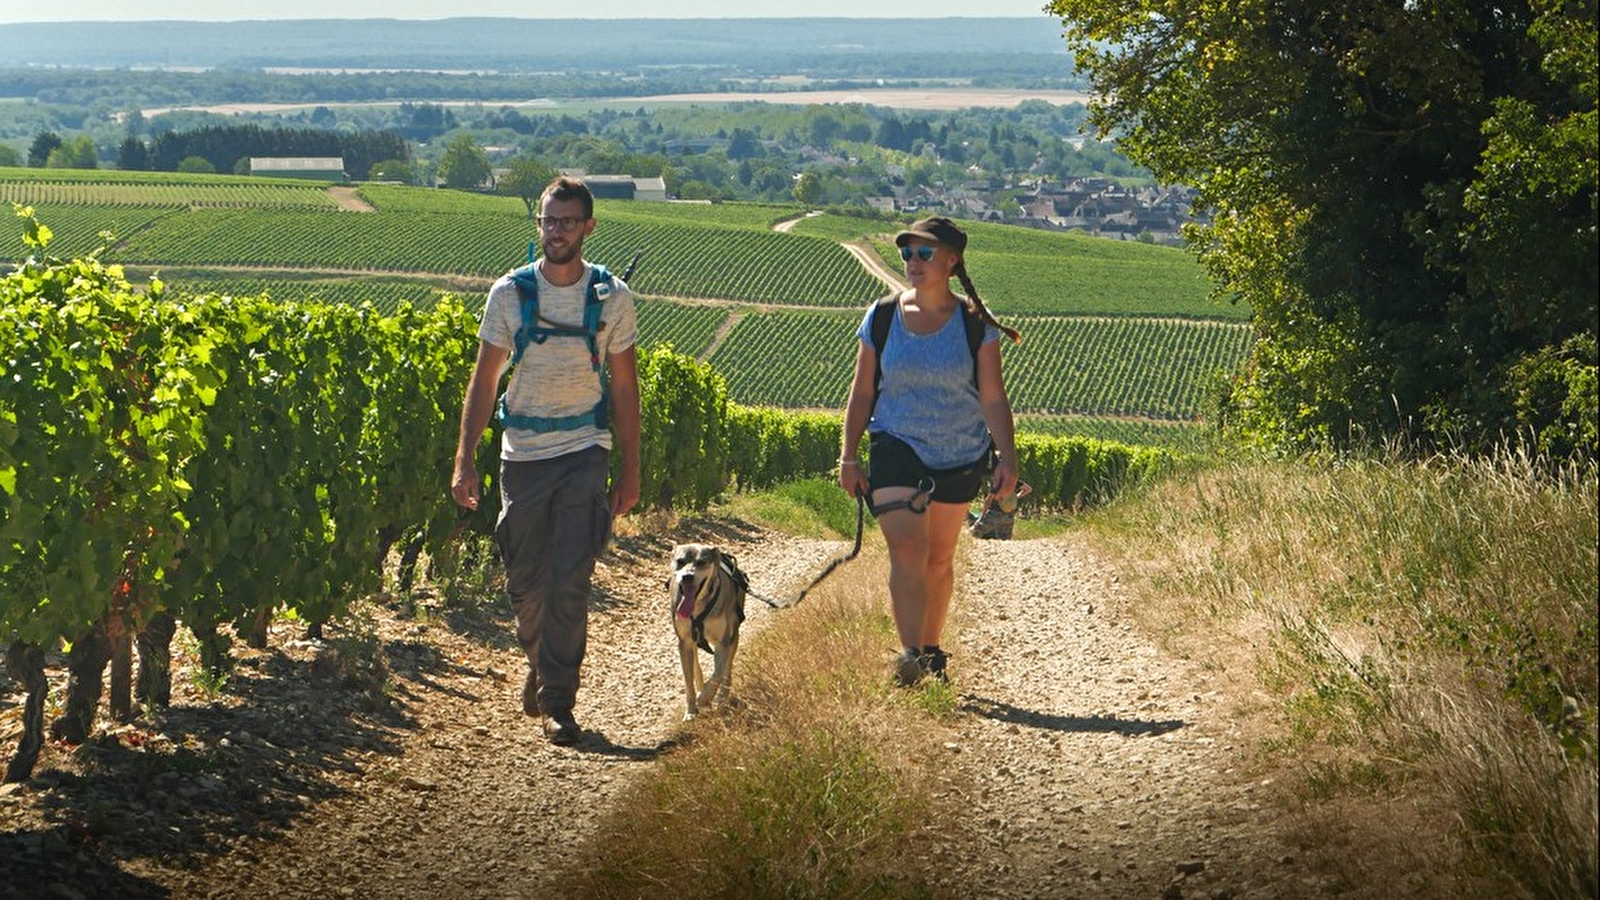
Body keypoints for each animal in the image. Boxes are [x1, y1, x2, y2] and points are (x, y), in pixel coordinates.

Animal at [668, 543, 749, 721]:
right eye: (680, 561)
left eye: (701, 562)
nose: (687, 577)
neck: (698, 606)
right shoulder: (684, 642)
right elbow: (689, 682)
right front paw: (691, 711)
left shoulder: (723, 642)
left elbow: (718, 673)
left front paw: (705, 697)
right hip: (692, 643)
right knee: (696, 667)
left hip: (734, 637)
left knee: (727, 670)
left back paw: (721, 699)